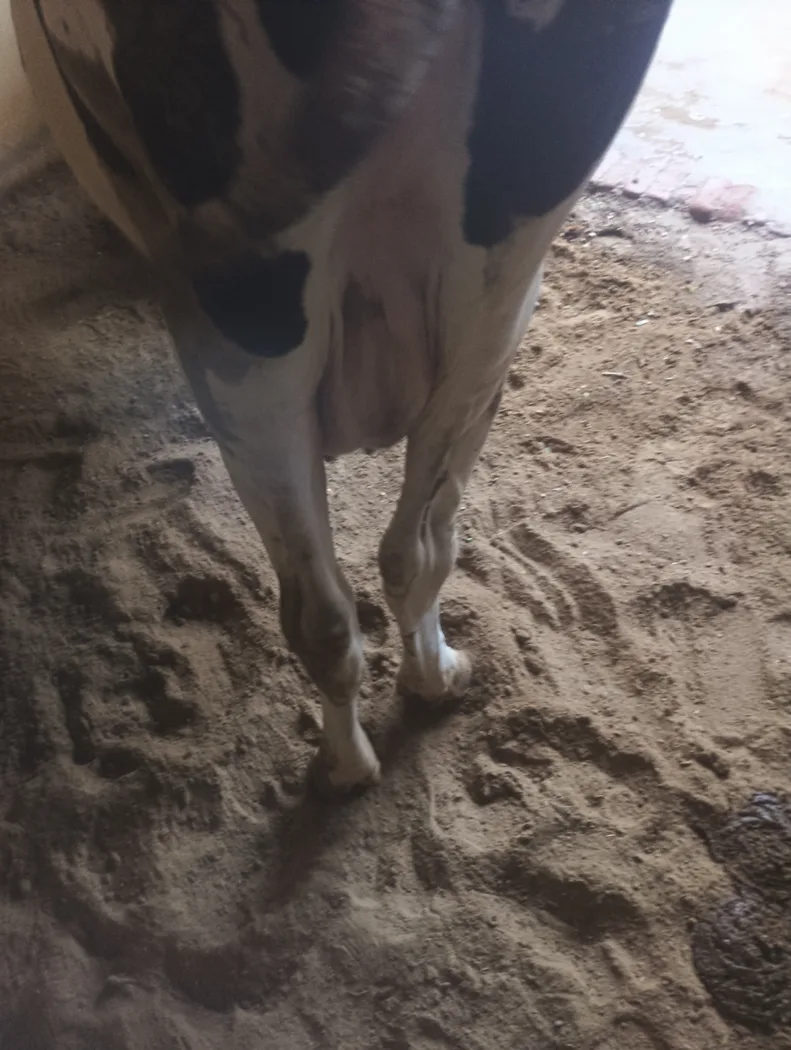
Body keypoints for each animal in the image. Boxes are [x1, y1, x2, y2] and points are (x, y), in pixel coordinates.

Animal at [11, 0, 672, 794]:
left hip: (259, 318)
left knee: (335, 596)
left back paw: (354, 755)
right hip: (500, 281)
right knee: (409, 553)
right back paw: (421, 694)